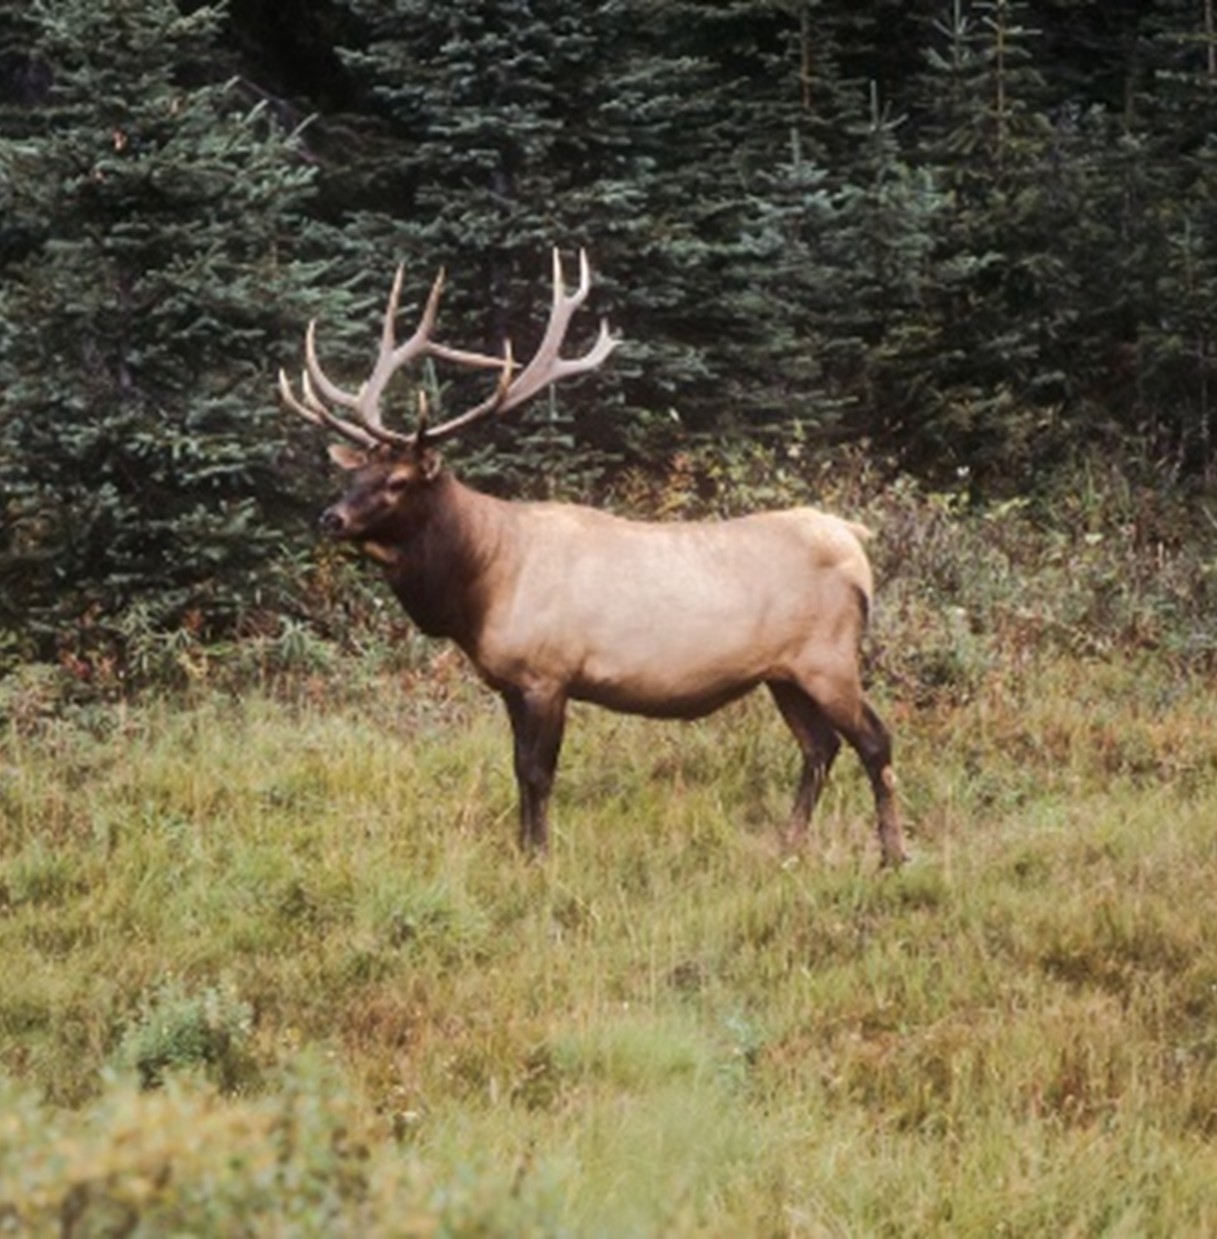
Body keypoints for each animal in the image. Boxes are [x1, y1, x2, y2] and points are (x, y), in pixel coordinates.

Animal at [279, 249, 907, 868]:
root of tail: (854, 539)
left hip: (830, 657)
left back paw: (892, 856)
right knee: (820, 746)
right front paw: (523, 850)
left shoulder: (548, 674)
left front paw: (539, 857)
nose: (331, 518)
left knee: (875, 740)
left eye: (399, 480)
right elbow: (519, 770)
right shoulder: (511, 683)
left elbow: (537, 773)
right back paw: (790, 846)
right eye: (354, 474)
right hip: (784, 673)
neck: (480, 584)